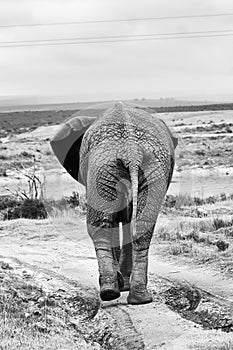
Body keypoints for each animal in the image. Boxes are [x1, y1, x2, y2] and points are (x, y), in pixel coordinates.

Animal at [51, 100, 177, 304]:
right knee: (142, 226)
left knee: (101, 226)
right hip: (138, 167)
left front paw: (121, 283)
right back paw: (137, 297)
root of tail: (131, 149)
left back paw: (112, 291)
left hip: (104, 167)